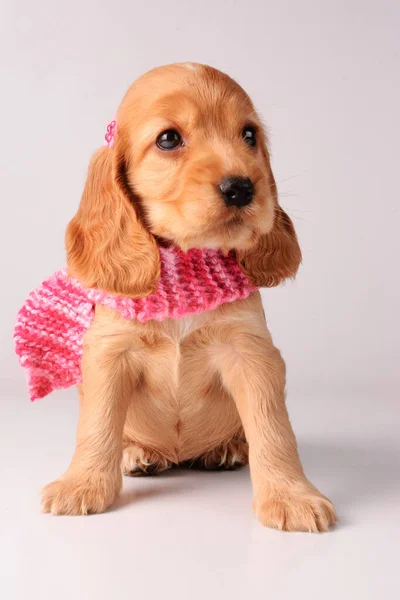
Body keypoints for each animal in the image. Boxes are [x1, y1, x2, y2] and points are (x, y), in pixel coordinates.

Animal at [40, 62, 336, 528]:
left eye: (249, 135)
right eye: (168, 139)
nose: (242, 188)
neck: (185, 263)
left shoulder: (251, 353)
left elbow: (274, 429)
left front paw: (291, 496)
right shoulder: (109, 354)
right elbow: (98, 425)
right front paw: (82, 484)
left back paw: (227, 448)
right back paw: (139, 453)